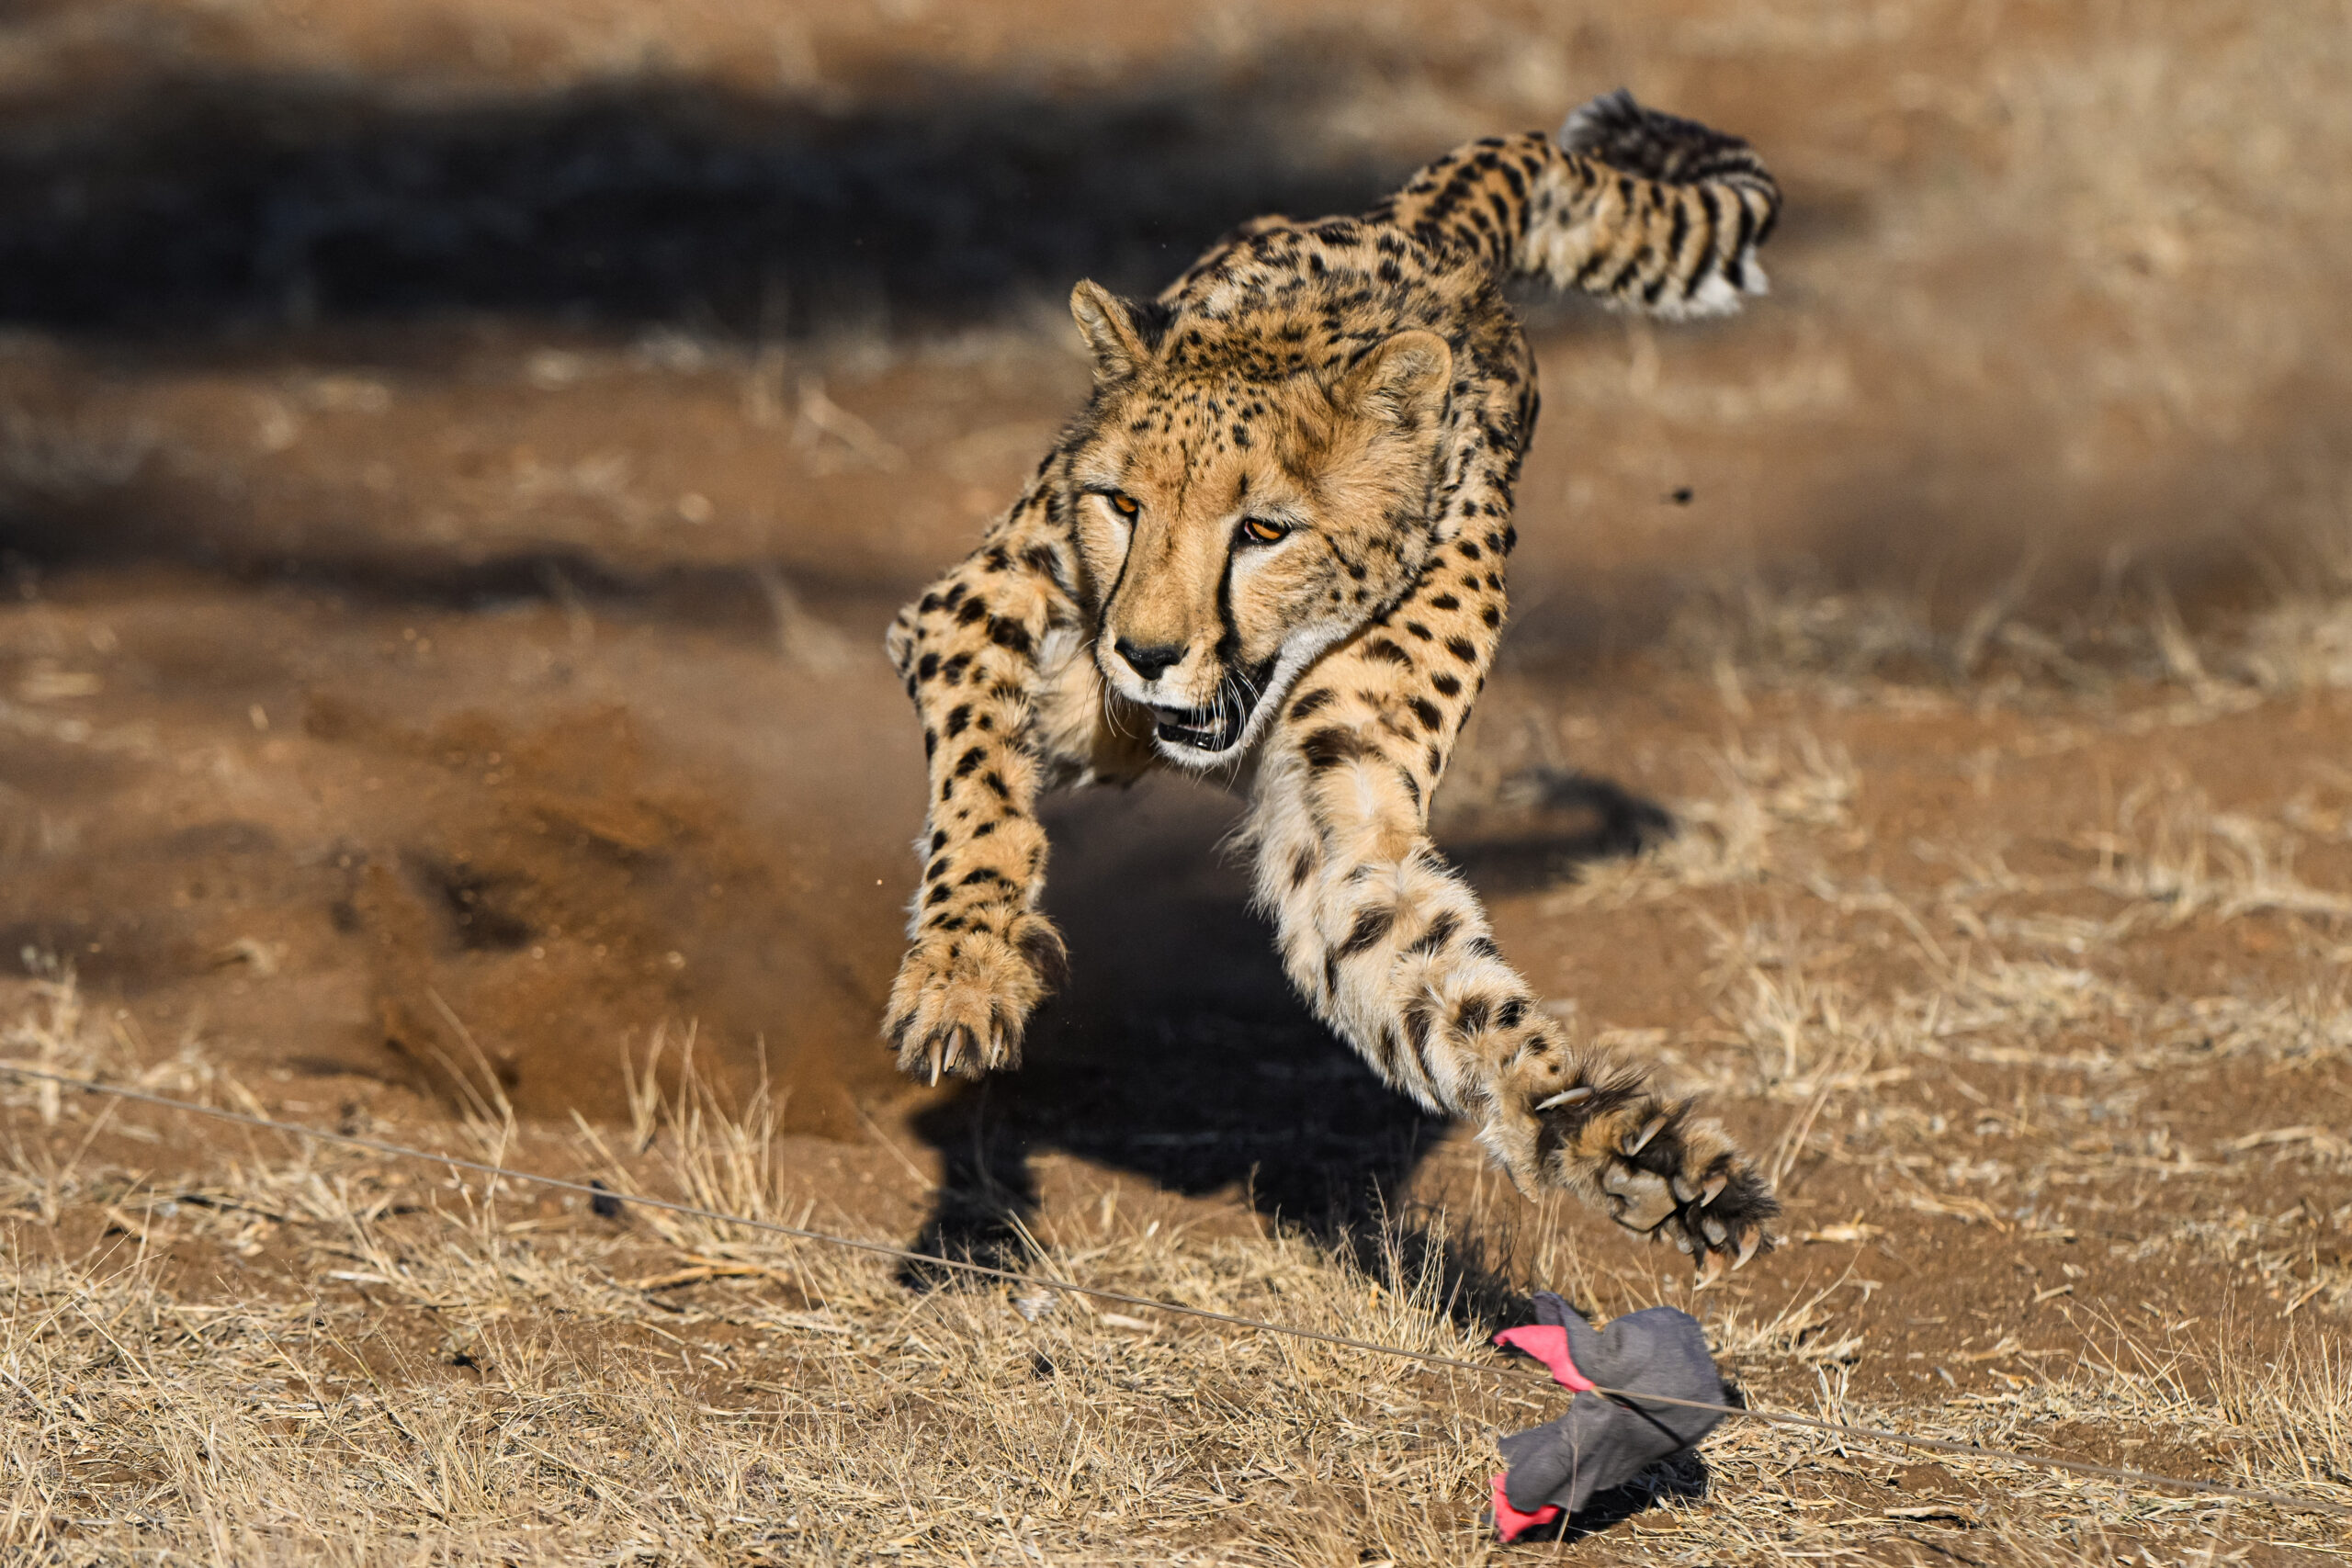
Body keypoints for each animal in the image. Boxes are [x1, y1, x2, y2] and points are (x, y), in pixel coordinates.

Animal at [881, 90, 1785, 1277]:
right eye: (1121, 504)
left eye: (1263, 531)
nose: (1147, 651)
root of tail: (1425, 220)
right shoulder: (960, 610)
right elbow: (982, 799)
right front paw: (965, 975)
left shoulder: (1340, 805)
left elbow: (1438, 976)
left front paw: (1623, 1150)